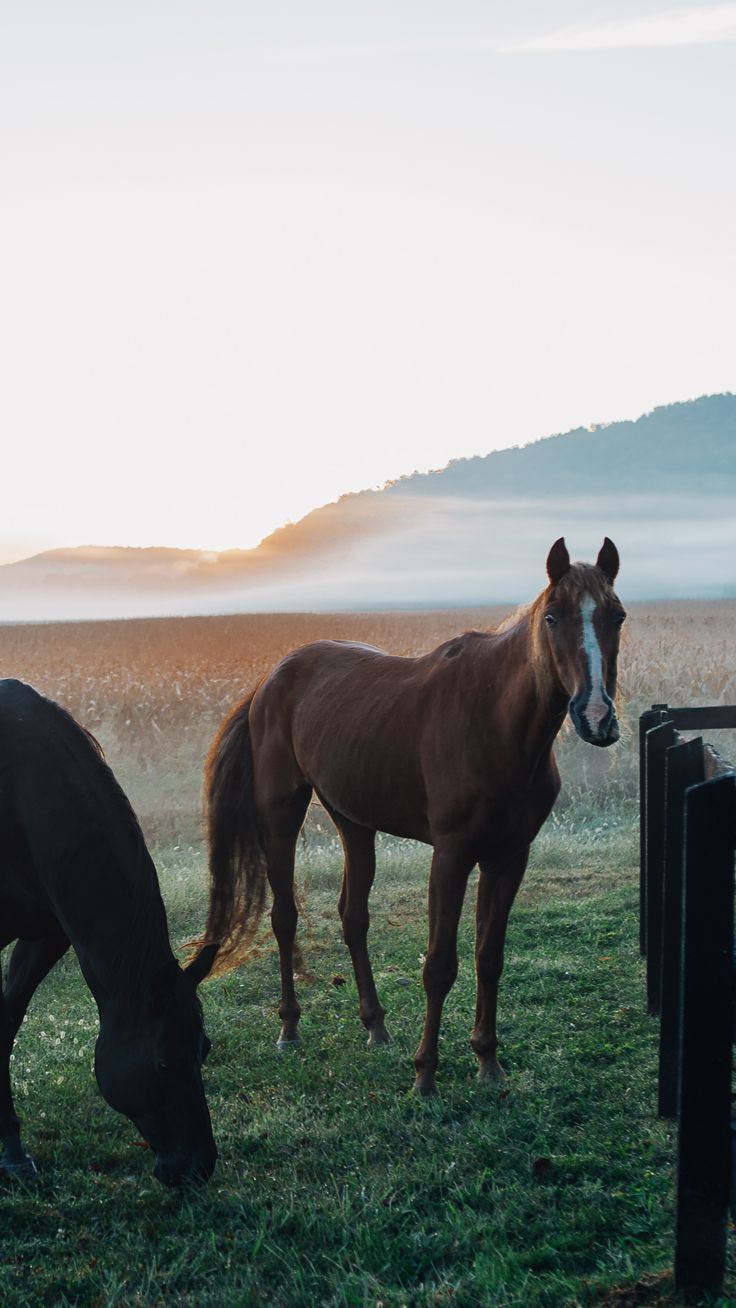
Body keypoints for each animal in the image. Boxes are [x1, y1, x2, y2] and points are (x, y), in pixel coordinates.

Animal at [0, 679, 218, 1185]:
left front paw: (12, 1150)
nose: (199, 1166)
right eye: (163, 1063)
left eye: (204, 1049)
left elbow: (6, 1022)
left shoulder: (48, 934)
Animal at [199, 537, 625, 1095]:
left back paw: (375, 1026)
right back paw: (290, 1027)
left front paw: (488, 1061)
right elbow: (439, 965)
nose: (596, 717)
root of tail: (271, 678)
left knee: (353, 917)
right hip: (280, 812)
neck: (496, 722)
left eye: (617, 616)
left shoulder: (509, 857)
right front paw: (425, 1074)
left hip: (353, 820)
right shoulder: (451, 855)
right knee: (284, 917)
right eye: (552, 617)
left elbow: (490, 958)